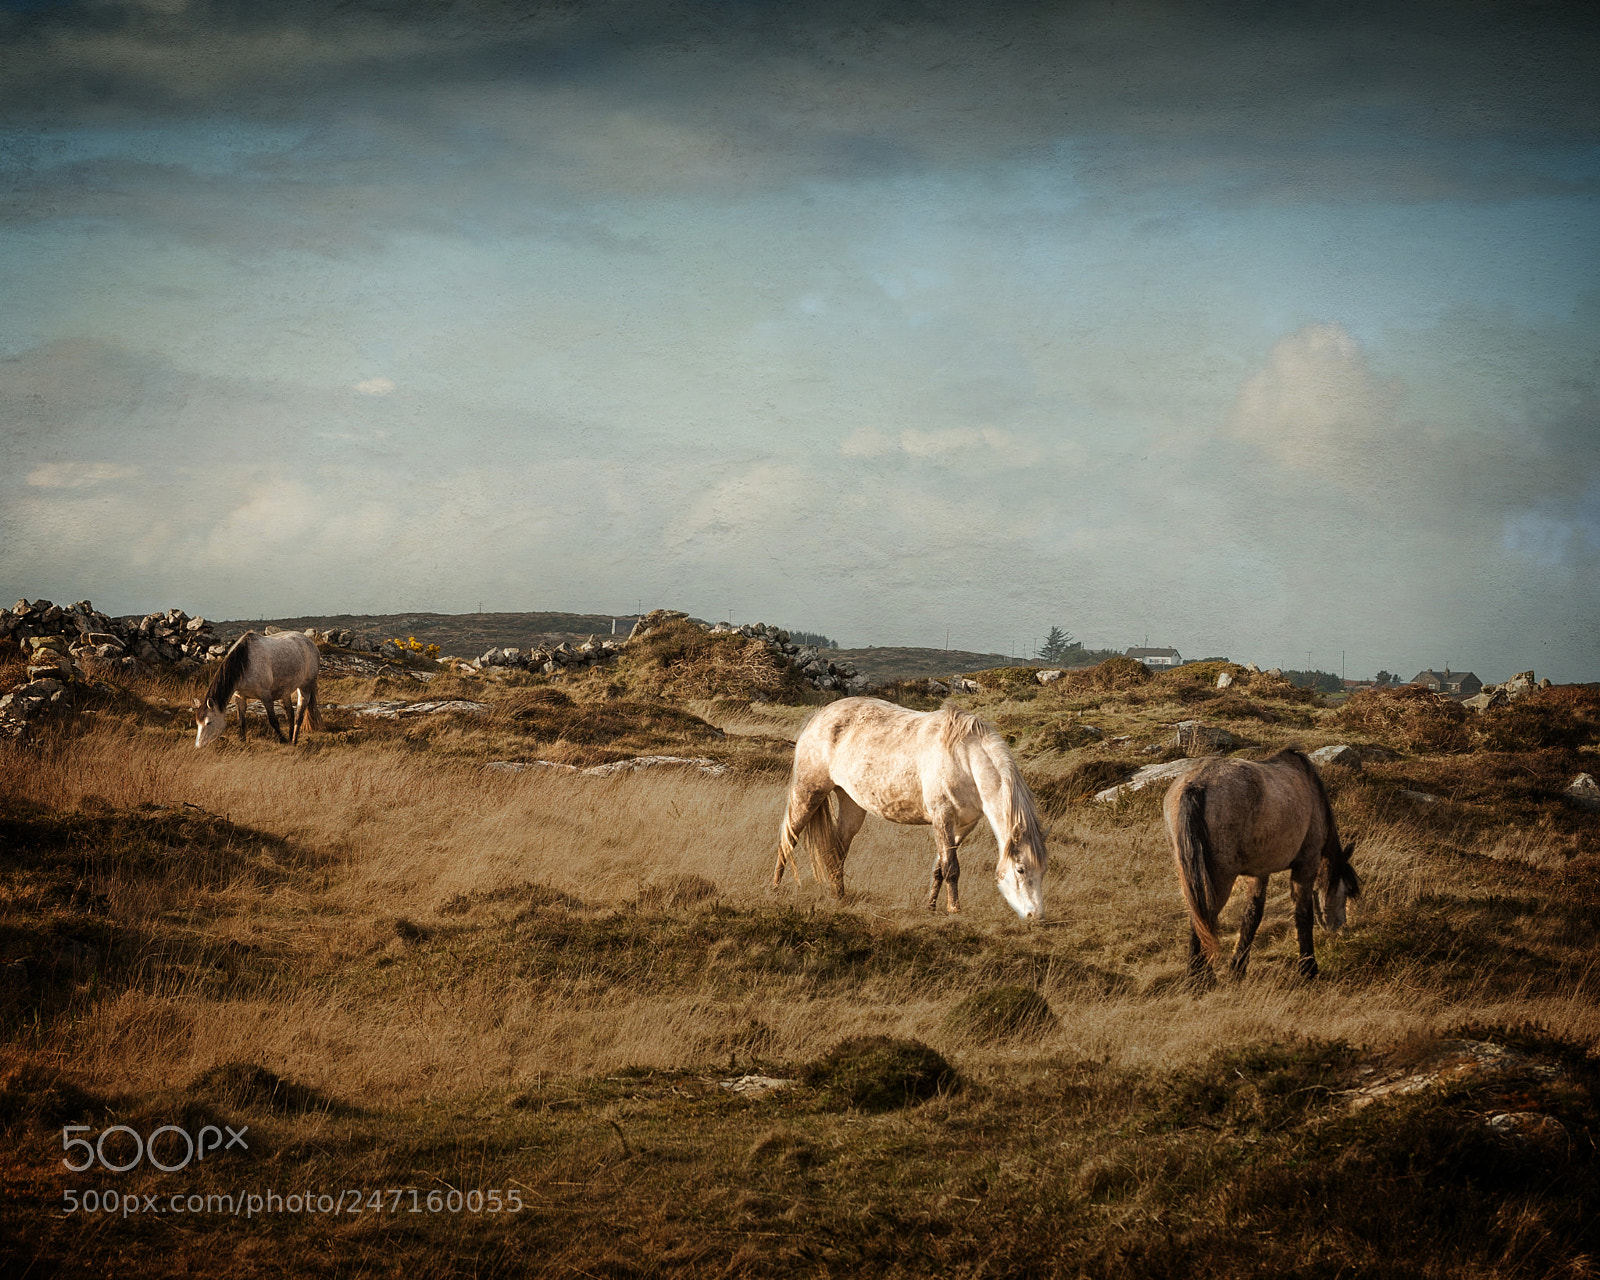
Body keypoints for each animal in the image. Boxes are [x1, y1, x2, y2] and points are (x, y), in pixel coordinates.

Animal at [193, 631, 322, 747]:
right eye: (197, 723)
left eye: (209, 722)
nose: (198, 746)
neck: (245, 664)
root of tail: (310, 643)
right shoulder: (240, 697)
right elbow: (241, 721)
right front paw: (242, 741)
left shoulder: (266, 696)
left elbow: (273, 720)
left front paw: (283, 740)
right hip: (285, 692)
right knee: (290, 714)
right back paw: (291, 739)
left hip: (305, 687)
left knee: (299, 715)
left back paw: (293, 740)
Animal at [775, 697, 1049, 920]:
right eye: (1020, 869)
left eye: (1043, 870)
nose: (1035, 915)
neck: (964, 758)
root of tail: (817, 716)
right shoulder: (942, 817)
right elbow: (951, 868)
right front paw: (954, 910)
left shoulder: (964, 825)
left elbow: (939, 867)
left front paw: (931, 907)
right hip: (808, 793)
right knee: (788, 839)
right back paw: (776, 888)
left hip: (851, 804)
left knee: (837, 851)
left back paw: (839, 895)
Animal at [1163, 748, 1359, 982]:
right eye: (1345, 891)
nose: (1341, 930)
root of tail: (1196, 785)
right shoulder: (1306, 864)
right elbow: (1303, 914)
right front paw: (1308, 968)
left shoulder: (1259, 872)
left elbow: (1252, 915)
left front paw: (1238, 968)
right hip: (1219, 877)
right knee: (1204, 918)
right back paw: (1199, 977)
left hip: (1189, 875)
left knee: (1198, 916)